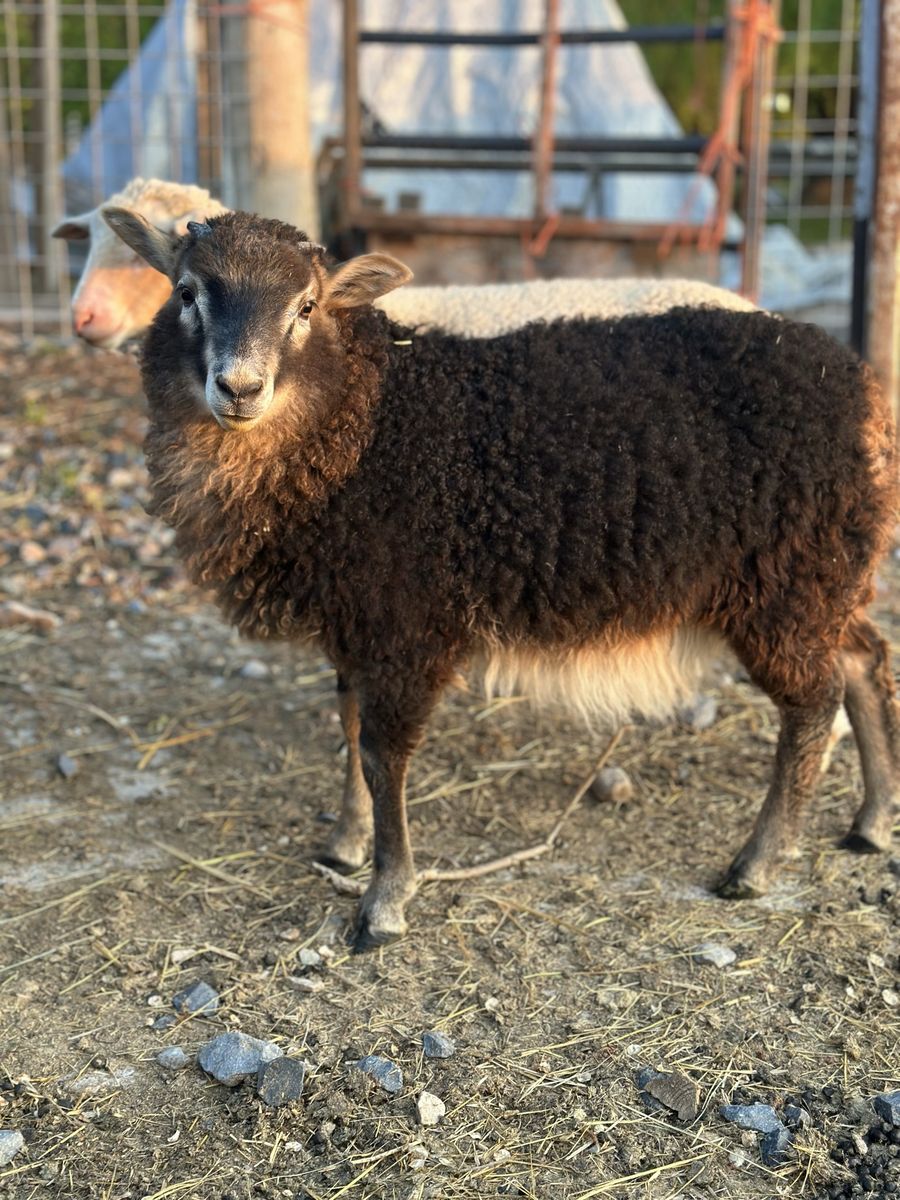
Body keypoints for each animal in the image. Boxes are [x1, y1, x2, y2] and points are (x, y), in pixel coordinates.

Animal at [103, 206, 898, 951]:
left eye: (306, 306)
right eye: (186, 292)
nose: (240, 387)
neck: (369, 420)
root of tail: (860, 389)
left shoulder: (406, 622)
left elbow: (382, 754)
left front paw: (385, 901)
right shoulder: (354, 618)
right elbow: (349, 727)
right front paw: (346, 844)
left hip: (786, 586)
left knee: (815, 703)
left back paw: (756, 865)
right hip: (827, 576)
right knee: (865, 659)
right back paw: (872, 820)